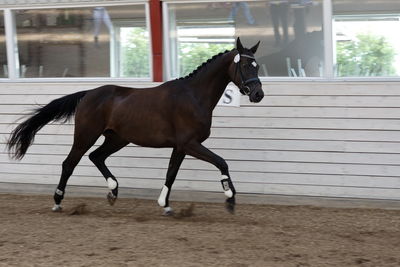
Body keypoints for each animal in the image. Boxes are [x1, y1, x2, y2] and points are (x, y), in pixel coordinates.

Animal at [7, 38, 264, 216]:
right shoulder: (190, 143)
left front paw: (165, 206)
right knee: (70, 163)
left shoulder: (181, 147)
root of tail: (88, 94)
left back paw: (113, 191)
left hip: (117, 138)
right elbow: (221, 162)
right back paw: (58, 201)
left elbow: (171, 173)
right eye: (246, 66)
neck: (193, 96)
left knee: (96, 157)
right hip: (85, 136)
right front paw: (230, 198)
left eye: (257, 66)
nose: (258, 94)